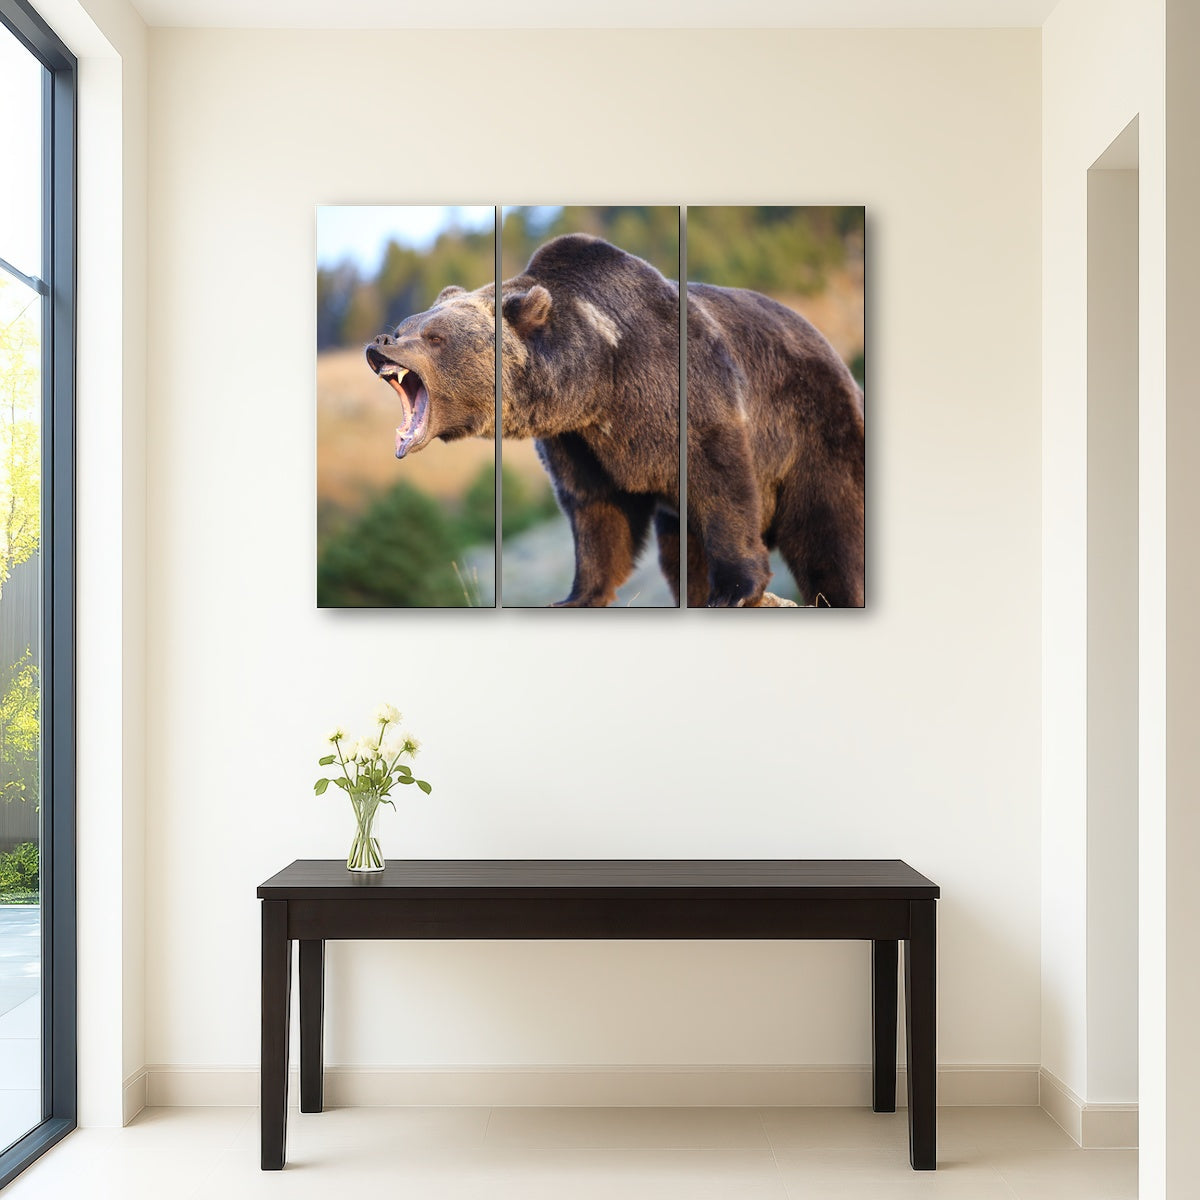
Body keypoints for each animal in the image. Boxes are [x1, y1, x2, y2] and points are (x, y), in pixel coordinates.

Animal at [364, 233, 864, 608]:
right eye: (405, 325)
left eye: (434, 337)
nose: (381, 342)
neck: (600, 378)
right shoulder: (579, 440)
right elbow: (595, 510)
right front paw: (577, 595)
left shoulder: (686, 390)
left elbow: (722, 482)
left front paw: (736, 590)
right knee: (680, 551)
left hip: (815, 429)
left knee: (831, 534)